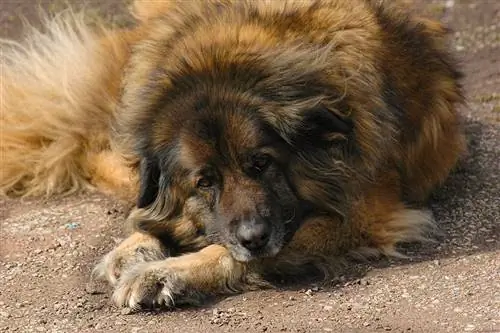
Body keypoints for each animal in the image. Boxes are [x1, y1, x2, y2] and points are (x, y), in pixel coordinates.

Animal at [1, 0, 466, 310]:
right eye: (204, 182)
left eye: (261, 164)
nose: (254, 238)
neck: (224, 63)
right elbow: (159, 214)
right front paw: (138, 249)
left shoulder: (363, 216)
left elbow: (226, 251)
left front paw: (164, 274)